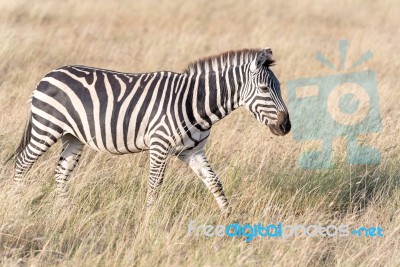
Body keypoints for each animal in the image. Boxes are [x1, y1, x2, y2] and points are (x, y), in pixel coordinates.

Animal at [8, 47, 290, 218]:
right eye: (265, 89)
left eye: (278, 86)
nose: (286, 127)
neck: (195, 102)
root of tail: (49, 75)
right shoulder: (160, 145)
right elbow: (154, 185)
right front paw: (149, 220)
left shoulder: (193, 151)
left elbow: (215, 183)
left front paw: (230, 219)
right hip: (46, 127)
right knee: (22, 164)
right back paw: (17, 204)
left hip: (73, 136)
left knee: (60, 173)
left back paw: (65, 211)